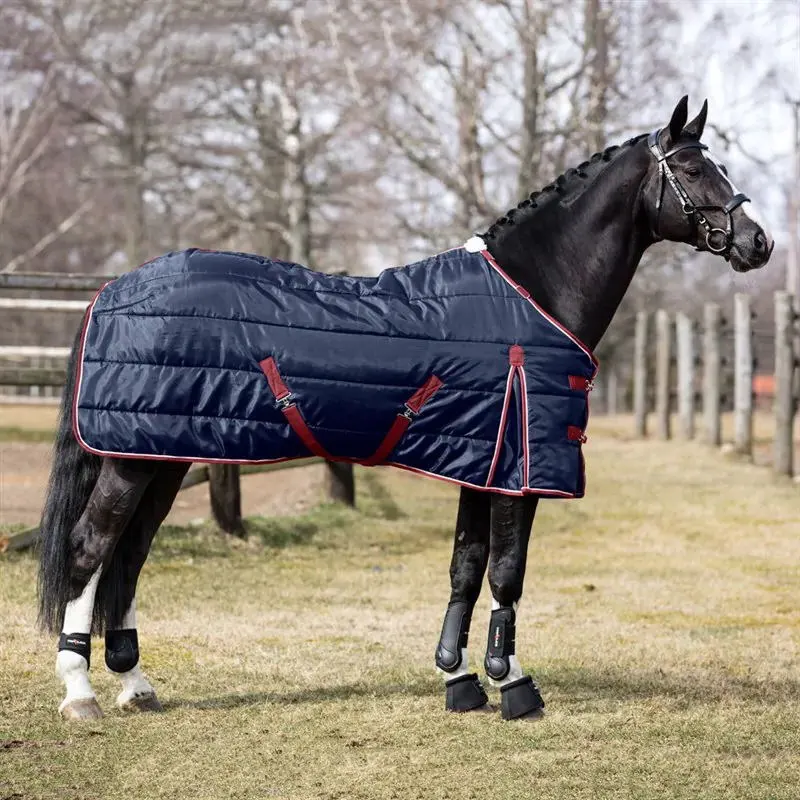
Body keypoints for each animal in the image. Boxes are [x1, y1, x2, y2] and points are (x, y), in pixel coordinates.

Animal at [37, 97, 773, 721]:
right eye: (692, 168)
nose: (757, 243)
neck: (531, 294)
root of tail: (111, 289)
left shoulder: (483, 461)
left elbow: (466, 568)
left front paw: (460, 679)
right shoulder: (520, 470)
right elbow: (507, 572)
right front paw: (513, 684)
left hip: (161, 455)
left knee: (128, 556)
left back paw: (135, 683)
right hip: (132, 460)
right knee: (89, 548)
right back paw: (80, 694)